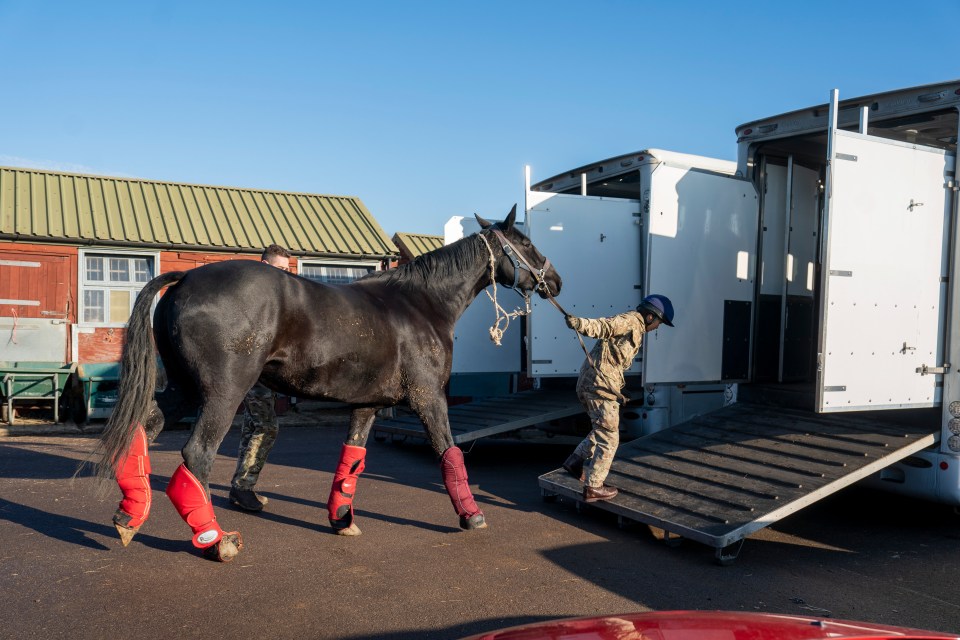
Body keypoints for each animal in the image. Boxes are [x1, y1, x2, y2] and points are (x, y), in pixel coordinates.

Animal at [93, 205, 560, 560]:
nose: (554, 280)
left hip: (185, 390)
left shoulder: (368, 404)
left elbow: (351, 461)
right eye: (526, 243)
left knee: (143, 428)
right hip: (222, 394)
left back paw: (129, 517)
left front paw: (341, 519)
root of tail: (186, 278)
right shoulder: (429, 398)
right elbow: (450, 454)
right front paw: (471, 514)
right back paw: (215, 539)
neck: (420, 304)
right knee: (197, 454)